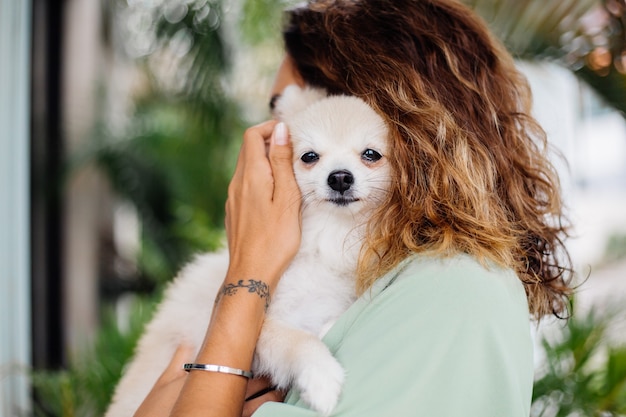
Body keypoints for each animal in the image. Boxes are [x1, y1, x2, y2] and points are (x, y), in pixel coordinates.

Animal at [106, 85, 390, 416]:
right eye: (309, 156)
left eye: (371, 154)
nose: (340, 177)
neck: (329, 234)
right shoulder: (259, 328)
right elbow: (297, 339)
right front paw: (321, 379)